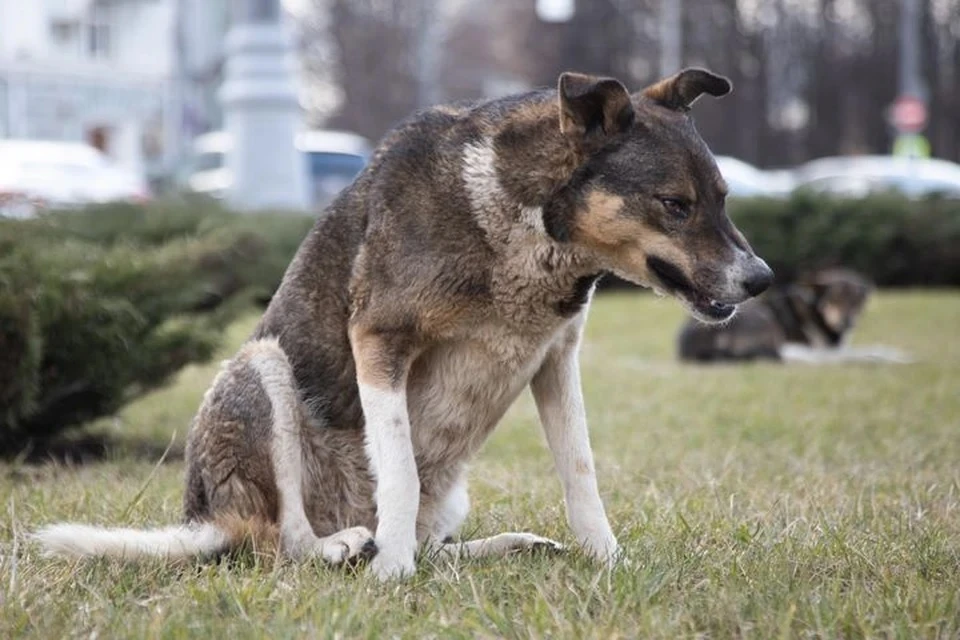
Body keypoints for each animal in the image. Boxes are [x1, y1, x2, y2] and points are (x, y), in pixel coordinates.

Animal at [33, 69, 776, 580]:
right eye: (674, 204)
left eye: (723, 198)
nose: (762, 279)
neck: (520, 224)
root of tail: (207, 519)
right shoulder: (380, 341)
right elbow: (397, 469)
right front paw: (391, 572)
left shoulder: (555, 361)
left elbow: (581, 473)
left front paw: (608, 559)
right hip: (260, 370)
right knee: (284, 541)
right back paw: (347, 545)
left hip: (451, 492)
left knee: (434, 542)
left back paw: (503, 546)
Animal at [676, 266, 908, 364]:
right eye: (835, 299)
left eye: (857, 301)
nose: (848, 322)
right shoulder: (825, 348)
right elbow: (864, 350)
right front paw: (894, 356)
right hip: (764, 317)